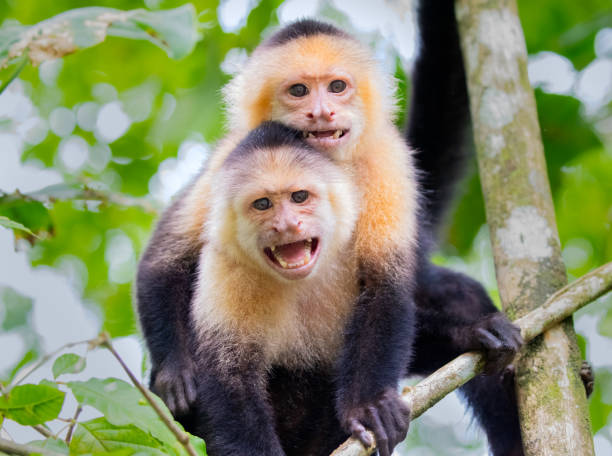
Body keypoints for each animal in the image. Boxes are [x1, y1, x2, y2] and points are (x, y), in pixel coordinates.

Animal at [136, 1, 592, 454]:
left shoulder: (386, 159)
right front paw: (176, 372)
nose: (322, 111)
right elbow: (167, 260)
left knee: (449, 294)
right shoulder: (230, 159)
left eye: (337, 86)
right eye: (299, 90)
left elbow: (383, 285)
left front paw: (369, 405)